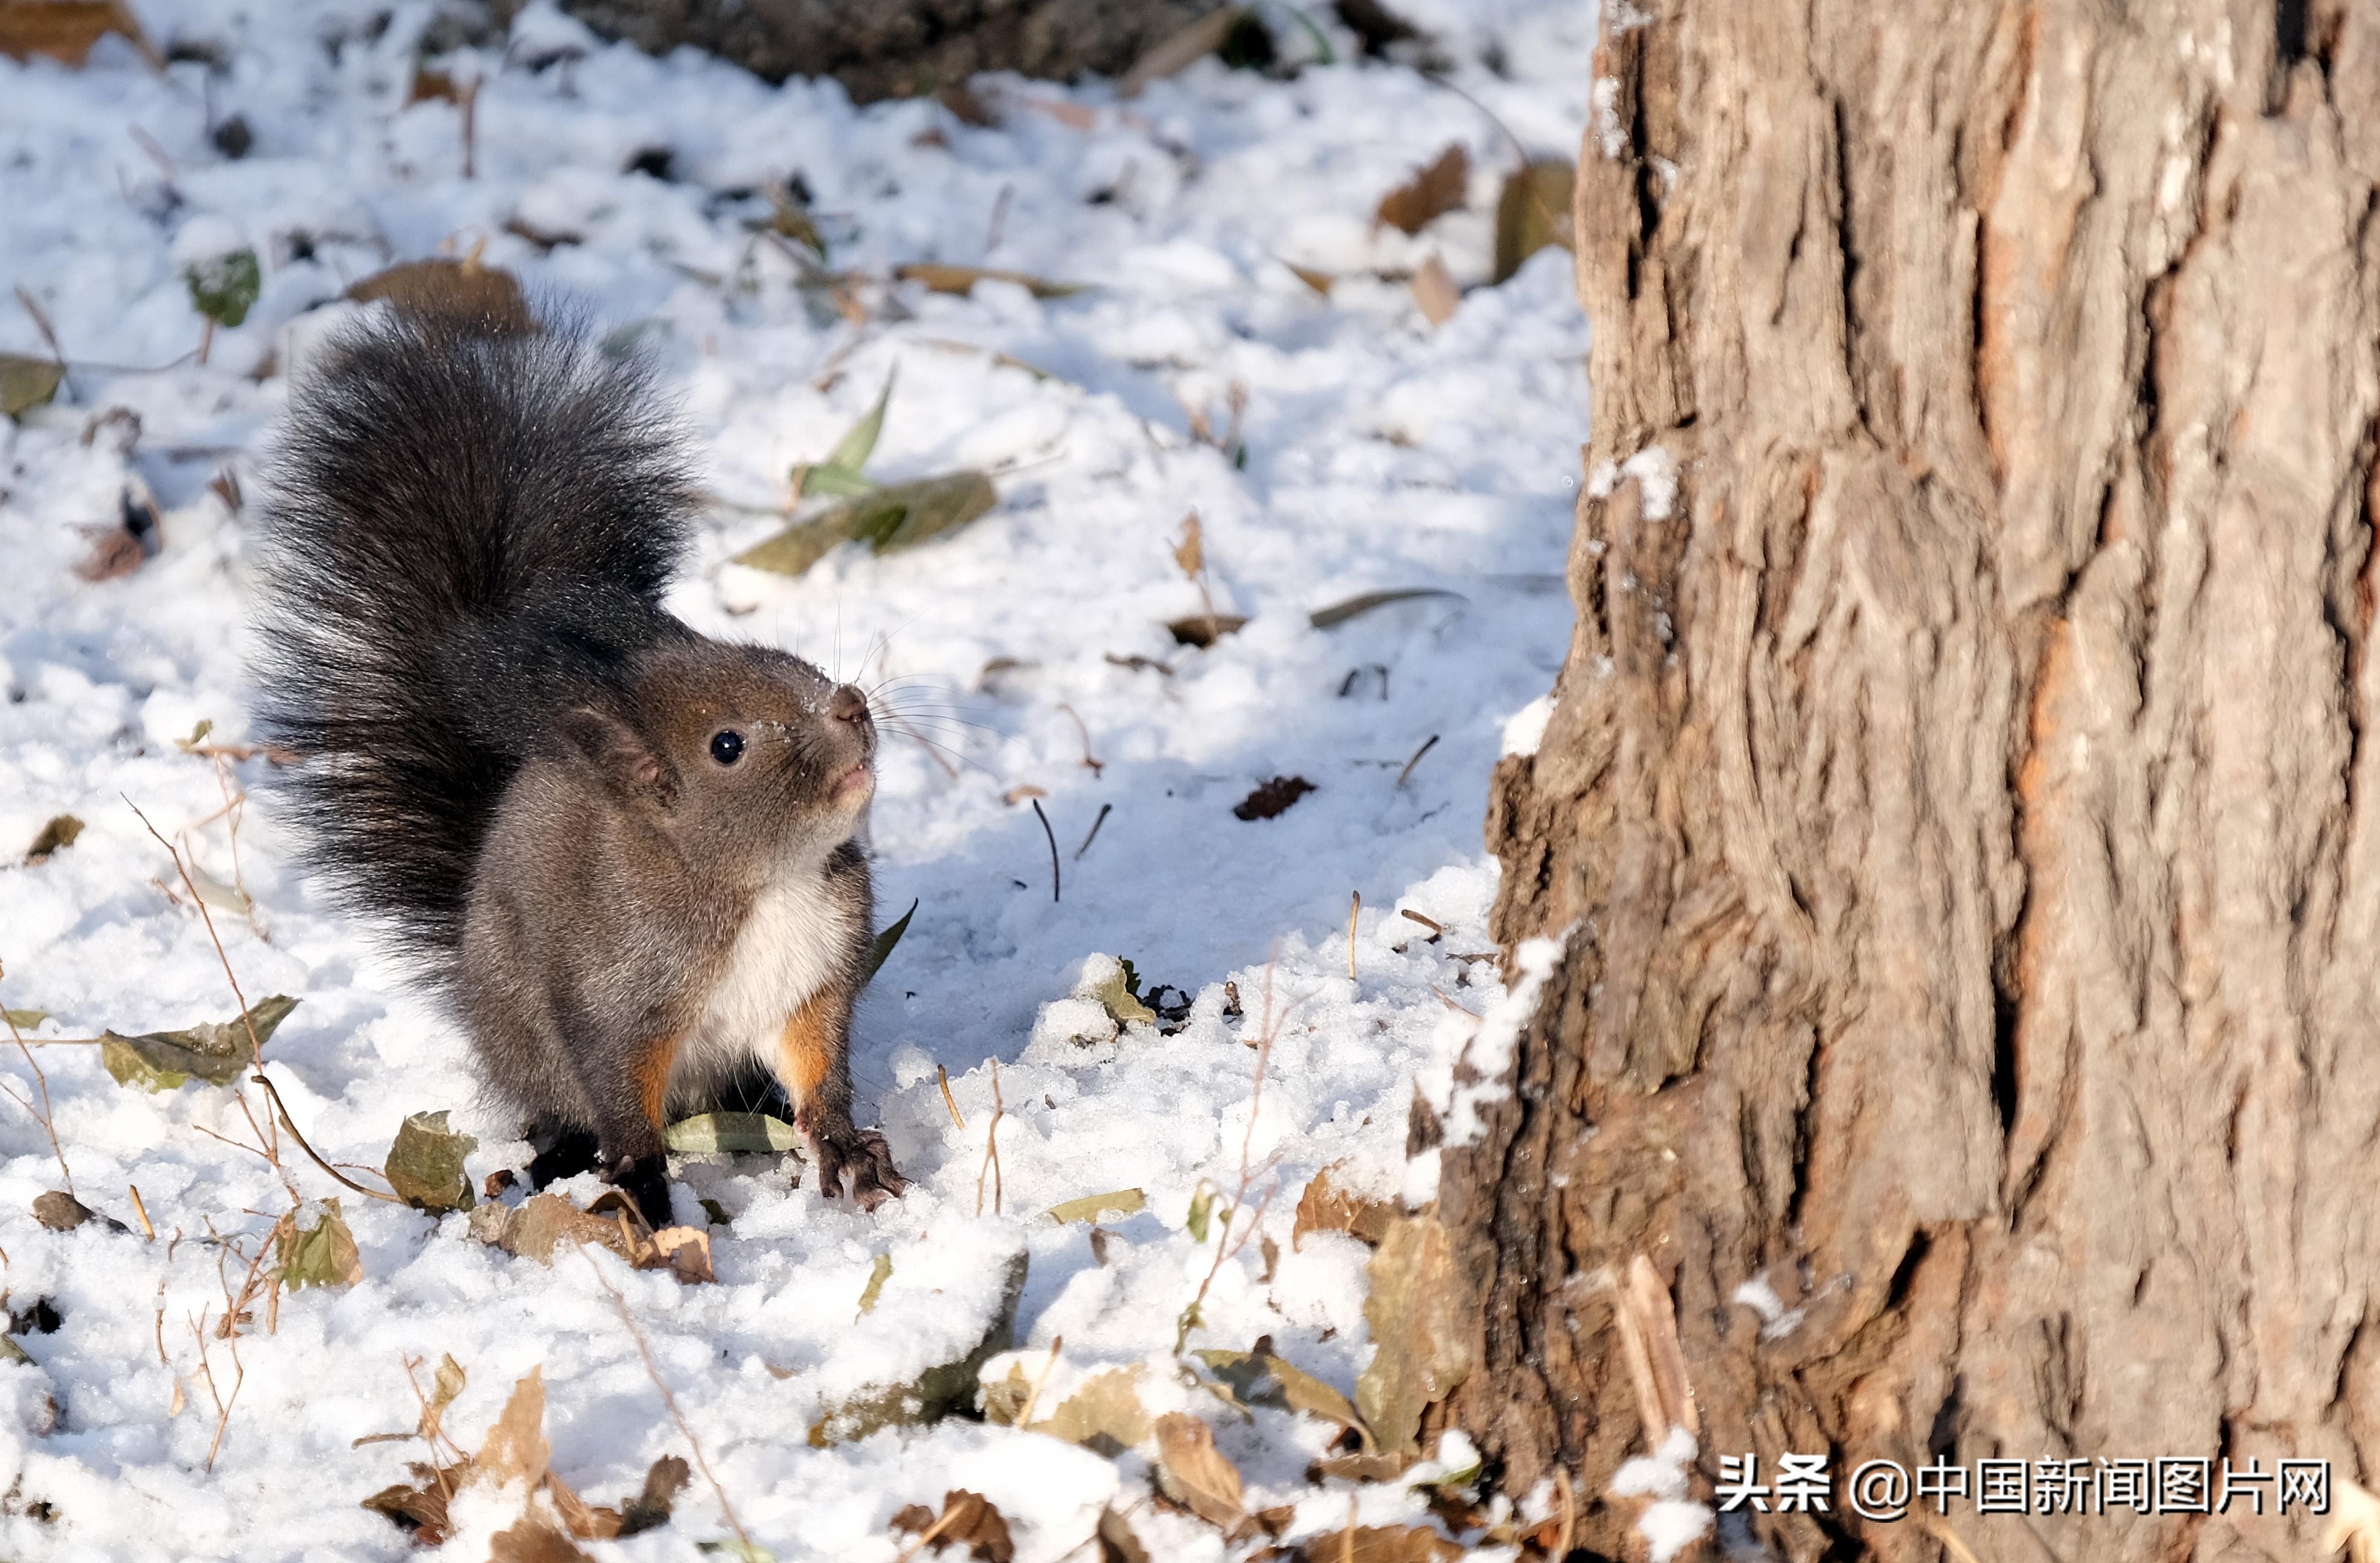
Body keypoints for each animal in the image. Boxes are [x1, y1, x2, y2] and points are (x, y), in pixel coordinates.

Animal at [246, 307, 904, 1228]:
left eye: (796, 662)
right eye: (727, 745)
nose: (850, 705)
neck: (760, 884)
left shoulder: (814, 979)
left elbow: (820, 1063)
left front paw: (843, 1143)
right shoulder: (615, 989)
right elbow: (617, 1082)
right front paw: (640, 1179)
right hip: (527, 1037)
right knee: (559, 1102)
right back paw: (557, 1153)